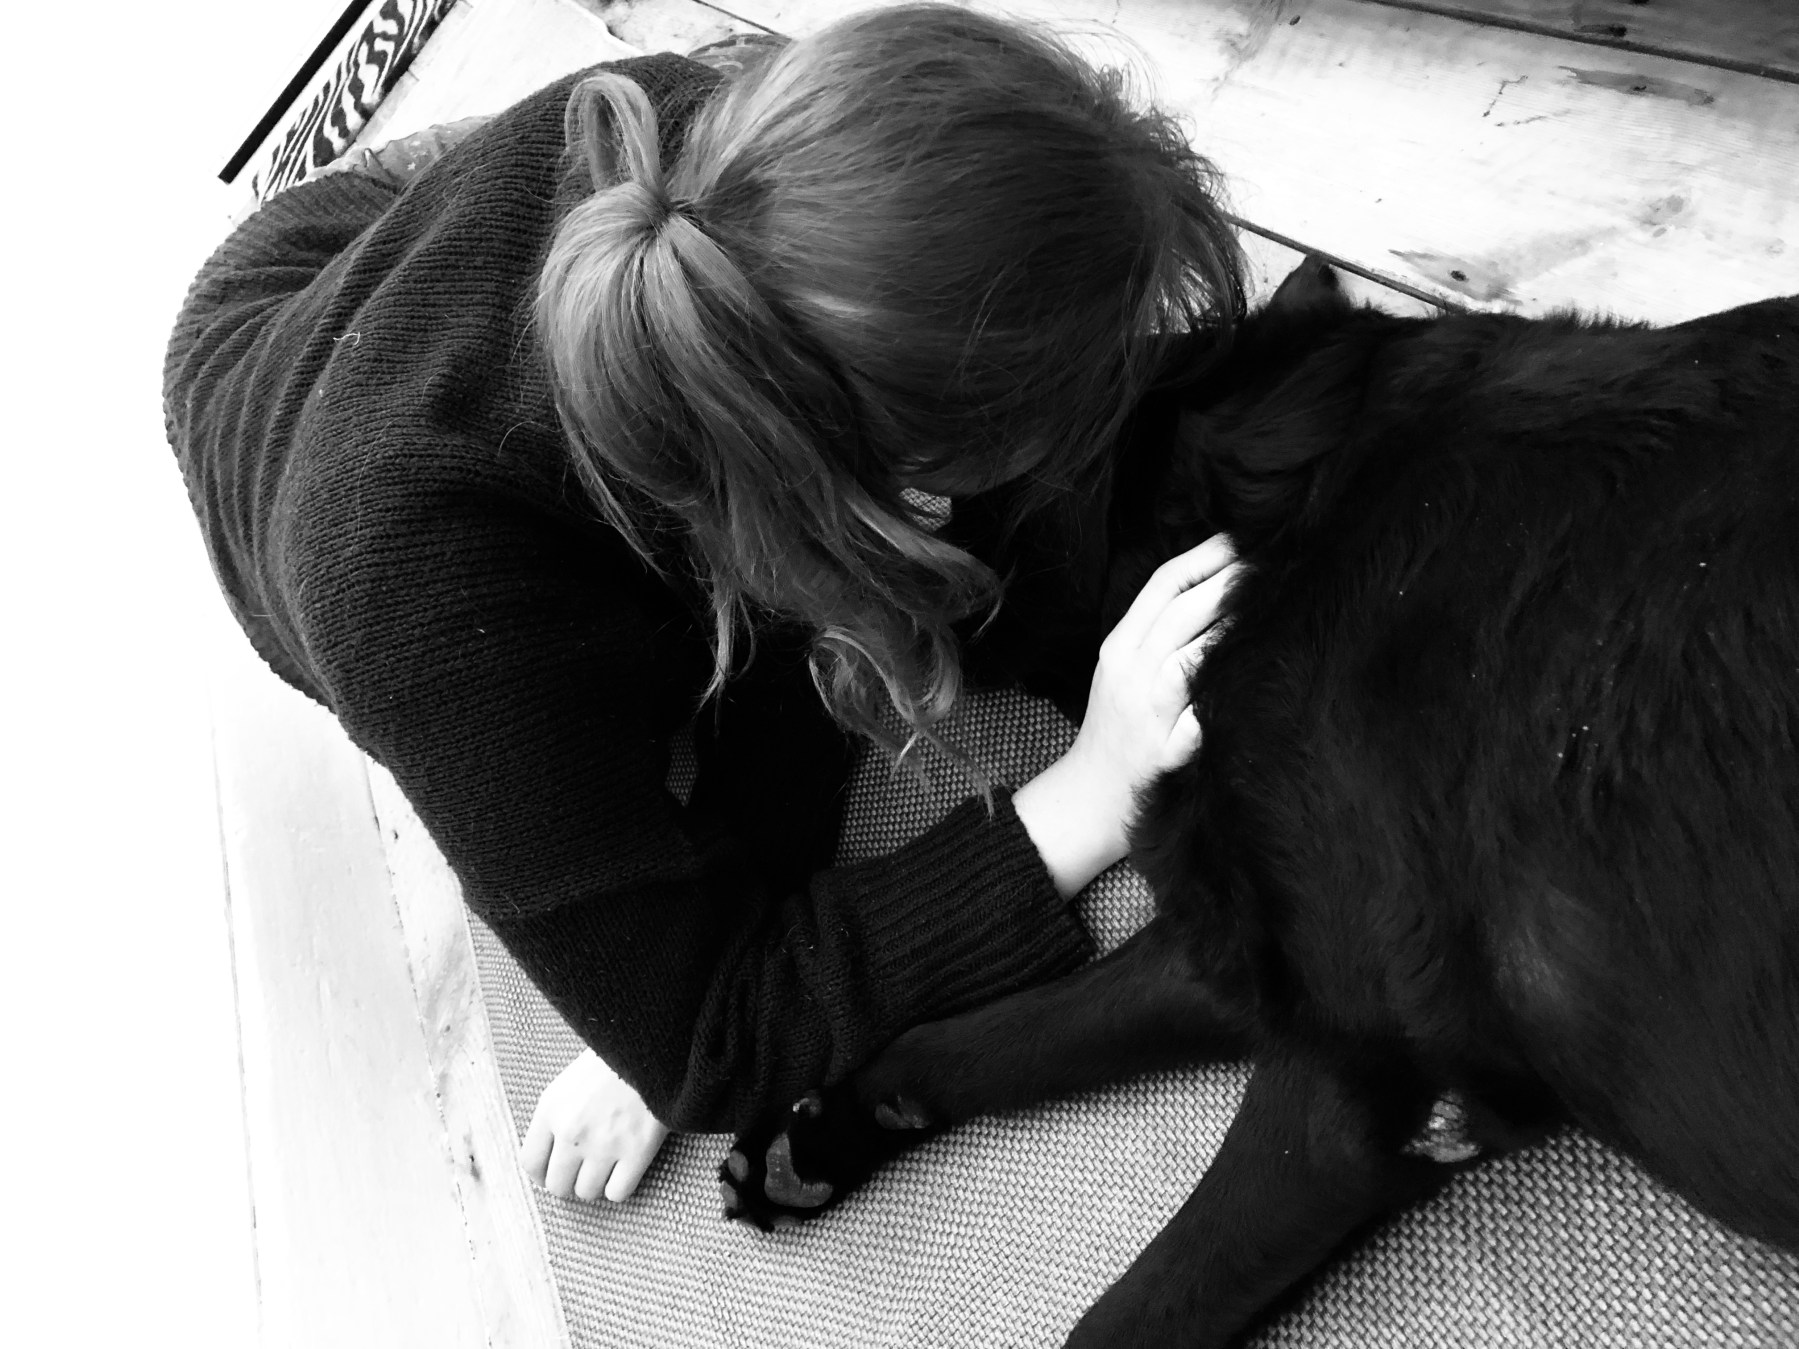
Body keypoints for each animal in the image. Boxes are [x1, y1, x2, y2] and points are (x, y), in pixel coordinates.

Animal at [719, 258, 1799, 1347]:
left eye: (970, 505)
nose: (810, 614)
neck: (1298, 507)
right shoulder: (1244, 948)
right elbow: (996, 1036)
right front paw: (825, 1131)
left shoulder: (1357, 1080)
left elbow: (1130, 1305)